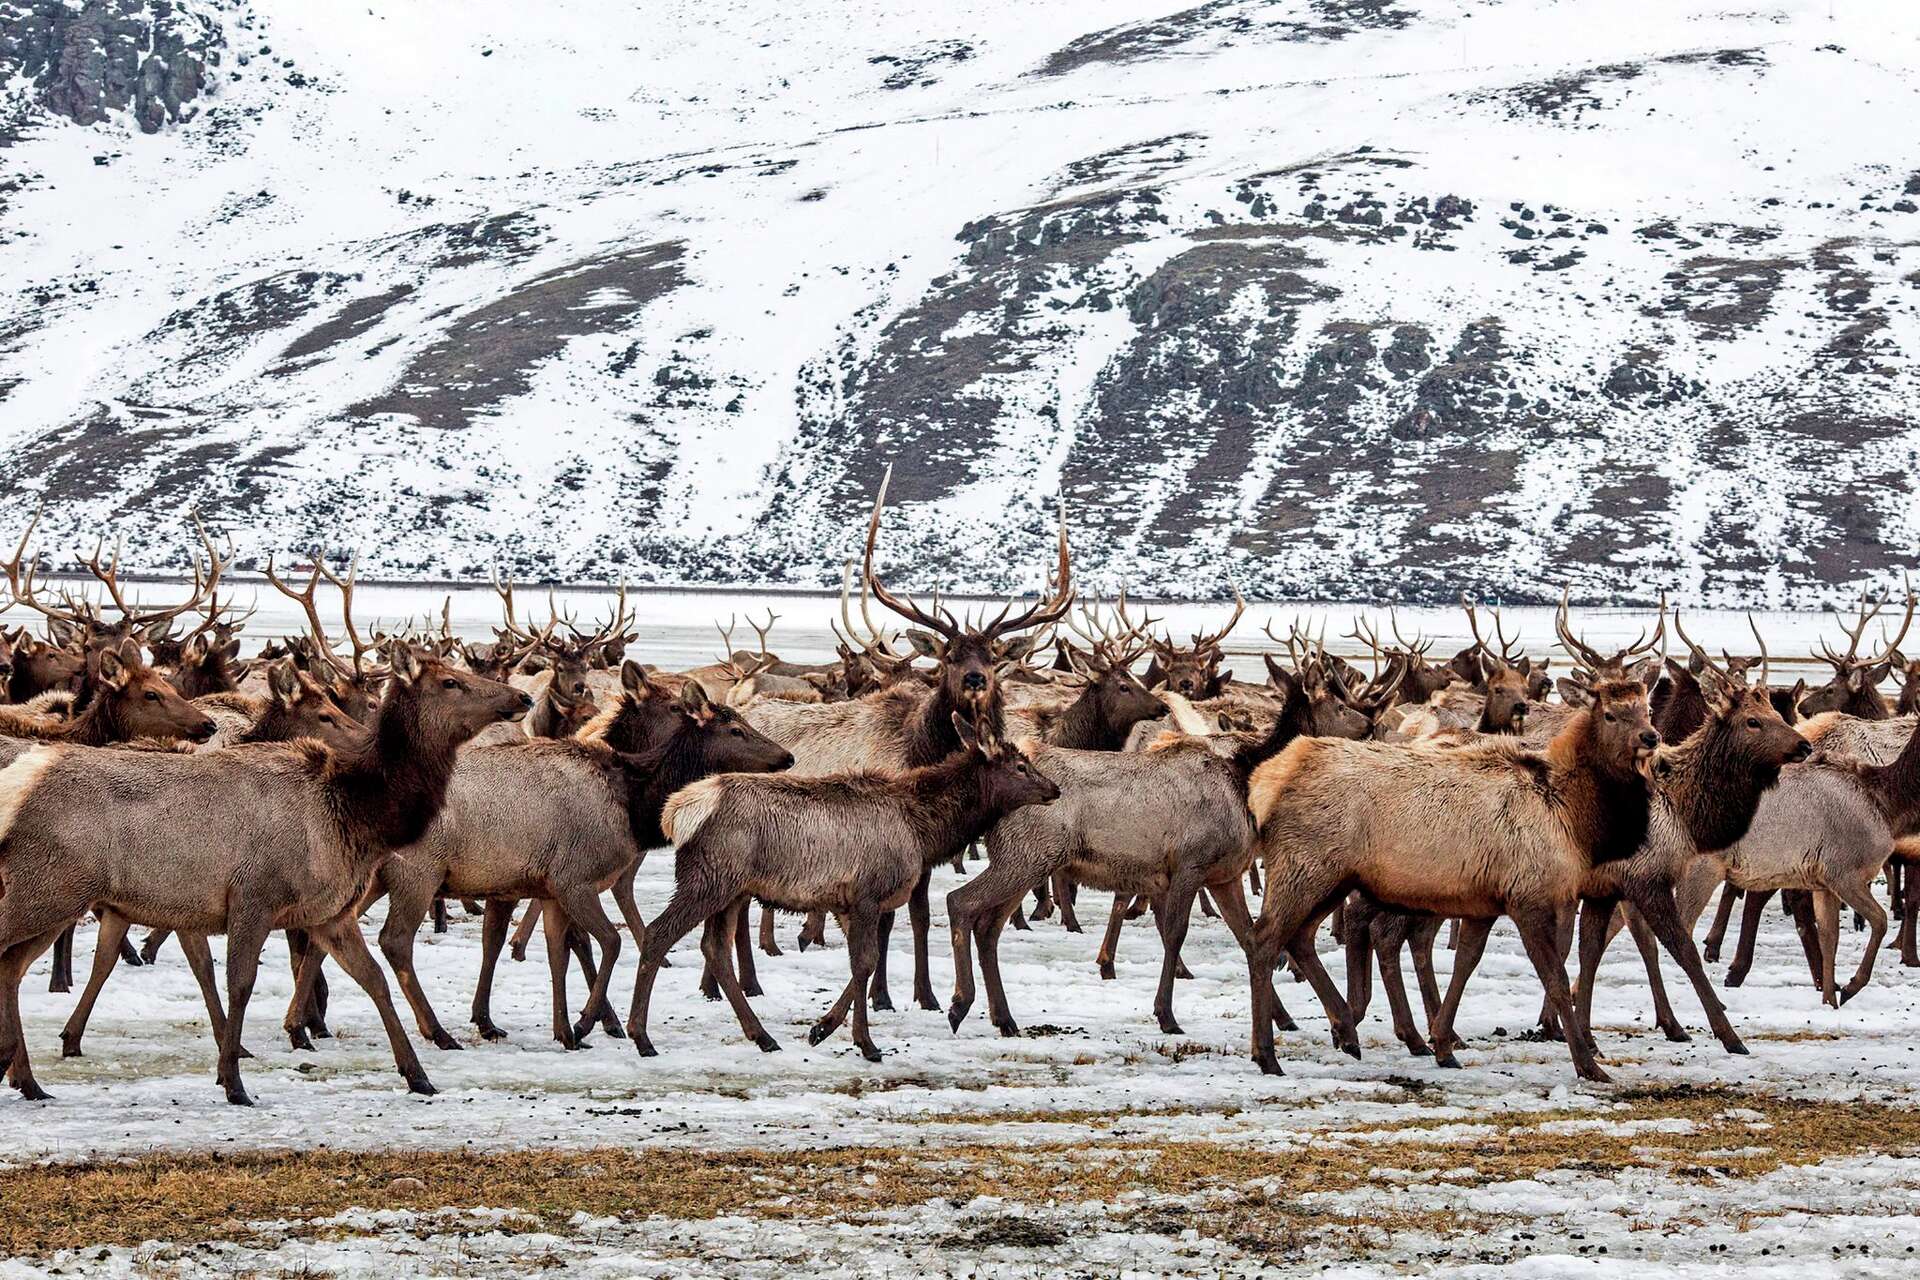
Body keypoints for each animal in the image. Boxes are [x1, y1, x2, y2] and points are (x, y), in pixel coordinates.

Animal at [0, 643, 530, 1104]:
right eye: (450, 681)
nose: (522, 697)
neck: (355, 816)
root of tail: (19, 787)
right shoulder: (253, 897)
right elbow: (239, 983)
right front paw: (233, 1082)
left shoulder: (329, 912)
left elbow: (373, 978)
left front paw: (418, 1076)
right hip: (46, 889)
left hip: (55, 899)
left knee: (11, 966)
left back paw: (27, 1079)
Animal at [630, 712, 1059, 1061]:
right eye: (1021, 766)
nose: (1054, 789)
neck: (924, 832)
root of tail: (676, 812)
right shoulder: (868, 893)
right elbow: (865, 963)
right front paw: (865, 1043)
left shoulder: (845, 902)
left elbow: (861, 968)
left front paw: (822, 1028)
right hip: (708, 880)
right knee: (658, 933)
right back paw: (641, 1037)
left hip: (732, 891)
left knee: (714, 949)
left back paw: (763, 1036)